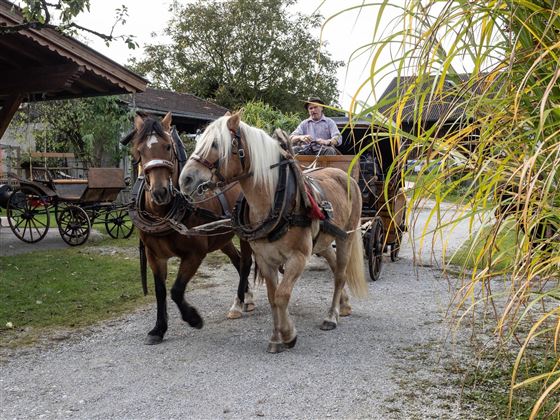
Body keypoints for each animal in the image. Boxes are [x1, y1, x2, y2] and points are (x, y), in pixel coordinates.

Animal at [128, 112, 253, 344]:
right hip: (221, 236)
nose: (159, 192)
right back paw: (246, 299)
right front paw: (158, 329)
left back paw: (239, 303)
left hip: (245, 233)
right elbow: (160, 291)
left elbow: (176, 290)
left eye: (168, 146)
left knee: (246, 263)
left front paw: (193, 318)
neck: (165, 215)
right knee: (238, 261)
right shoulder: (153, 255)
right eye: (139, 150)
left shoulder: (195, 254)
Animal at [178, 113, 368, 352]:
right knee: (334, 267)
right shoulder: (265, 258)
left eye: (215, 144)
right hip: (323, 242)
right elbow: (272, 296)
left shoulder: (298, 257)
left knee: (340, 274)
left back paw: (331, 317)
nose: (185, 179)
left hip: (346, 238)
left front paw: (288, 334)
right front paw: (277, 338)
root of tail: (344, 175)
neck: (275, 200)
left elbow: (282, 295)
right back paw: (344, 305)